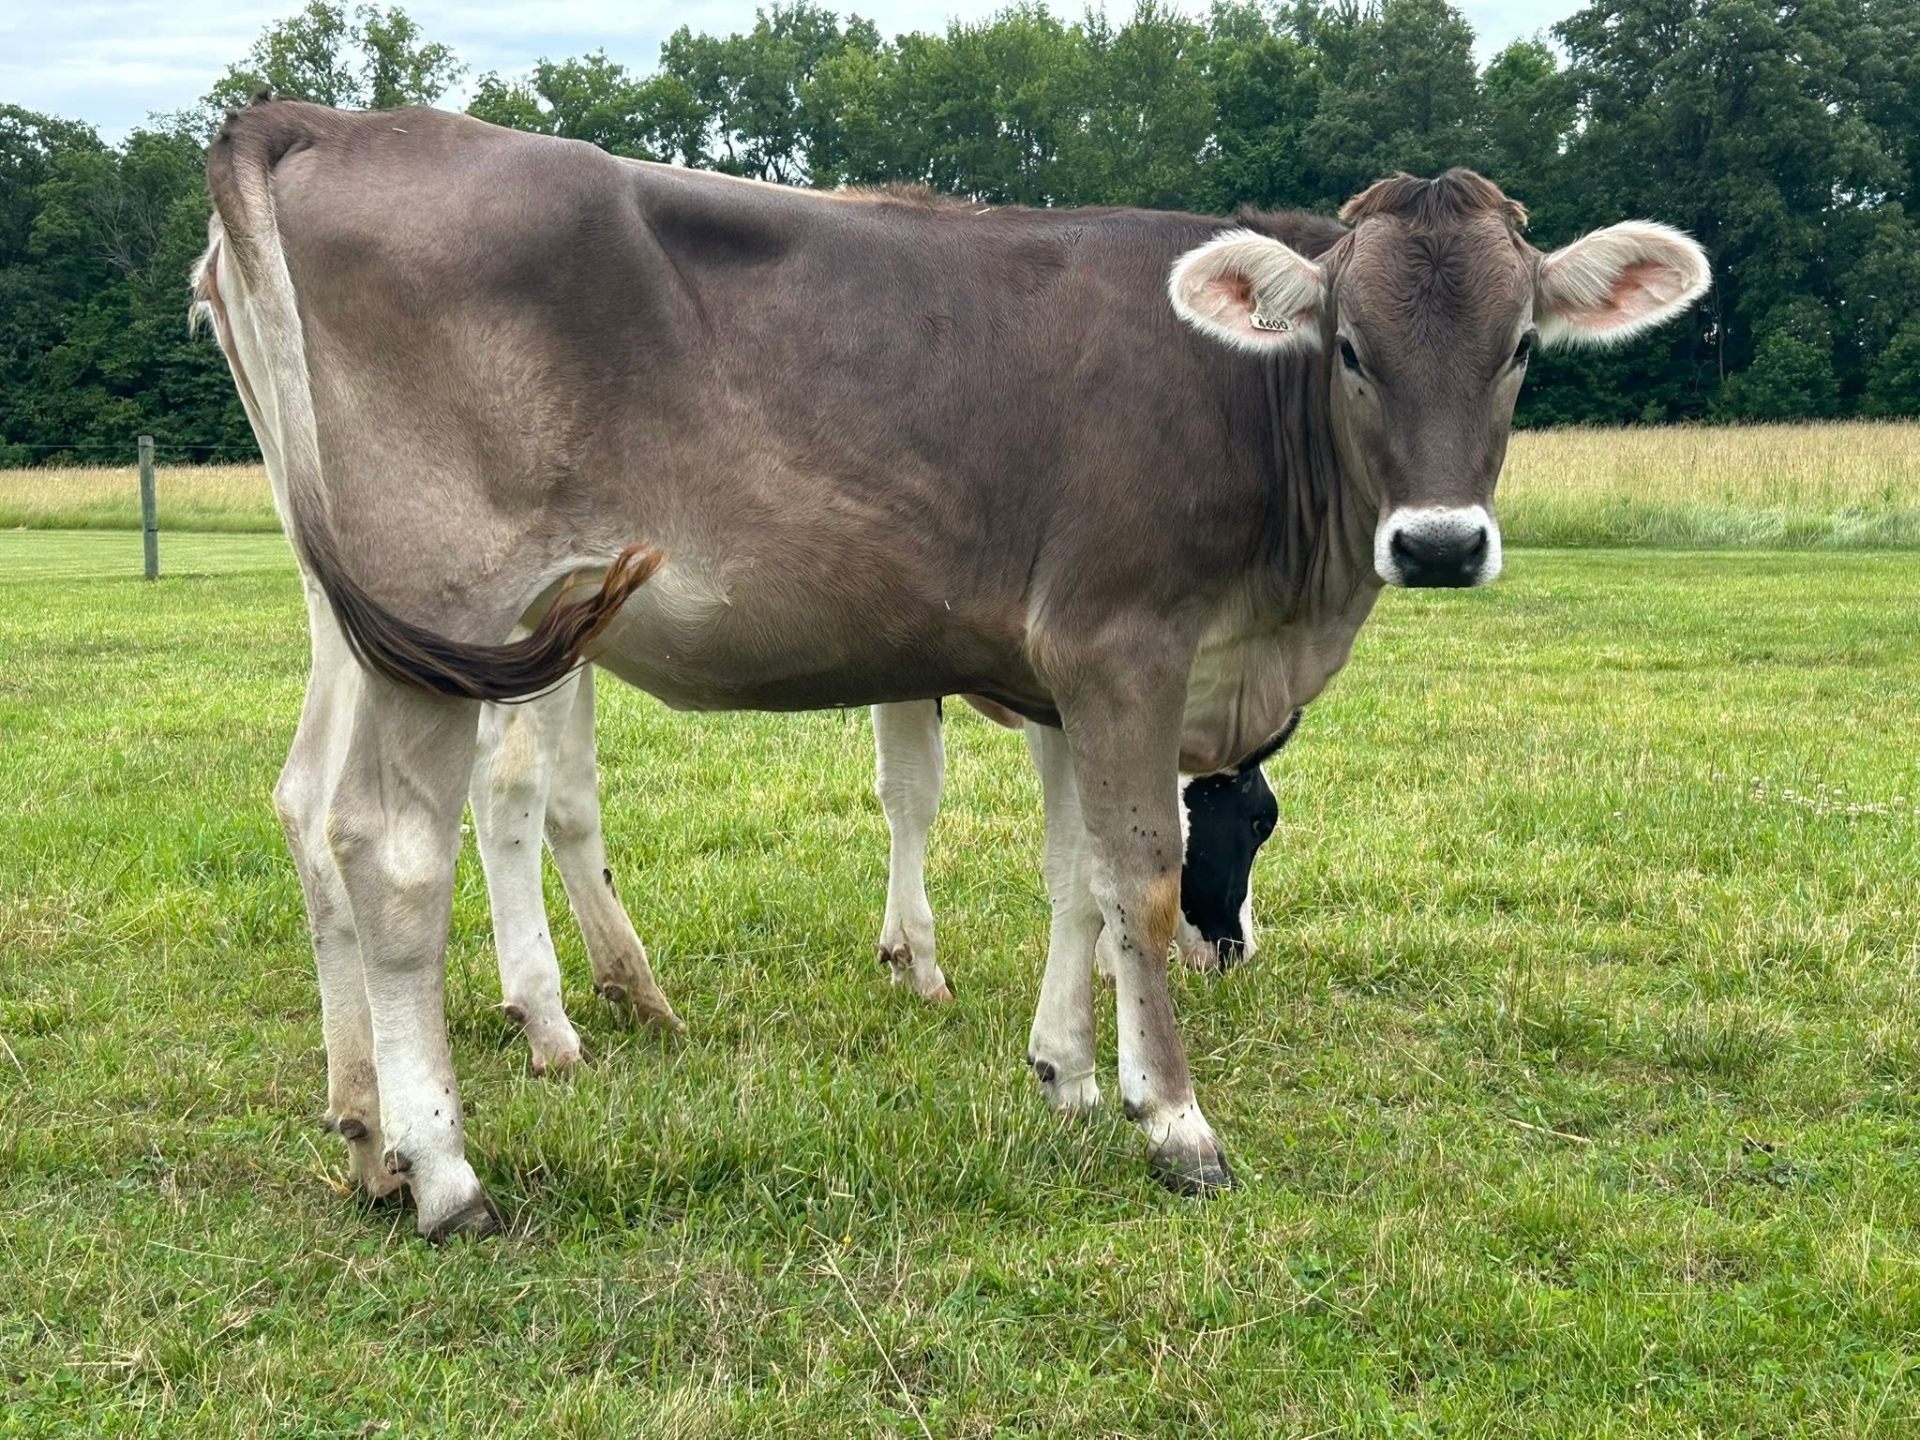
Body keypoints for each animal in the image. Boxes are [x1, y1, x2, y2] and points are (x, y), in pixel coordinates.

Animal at [465, 681, 1297, 1076]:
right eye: (1262, 819)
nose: (1240, 951)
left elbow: (904, 785)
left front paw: (904, 953)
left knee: (568, 798)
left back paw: (632, 986)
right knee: (507, 782)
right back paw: (546, 1023)